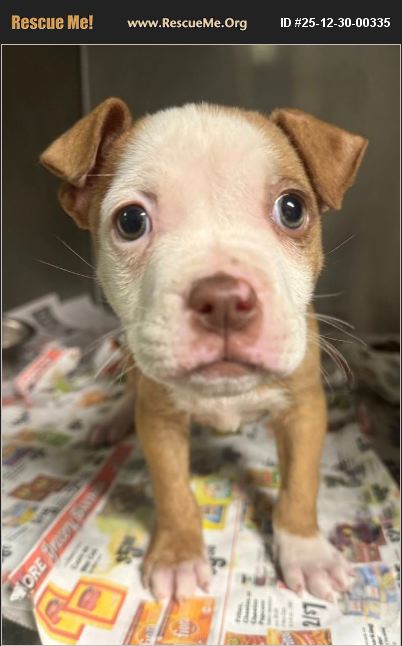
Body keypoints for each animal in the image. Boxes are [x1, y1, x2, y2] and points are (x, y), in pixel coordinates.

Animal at [40, 99, 367, 602]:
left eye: (292, 209)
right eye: (131, 221)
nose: (225, 300)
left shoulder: (304, 409)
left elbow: (300, 484)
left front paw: (307, 552)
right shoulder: (159, 420)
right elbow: (174, 491)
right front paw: (178, 556)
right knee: (129, 391)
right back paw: (110, 419)